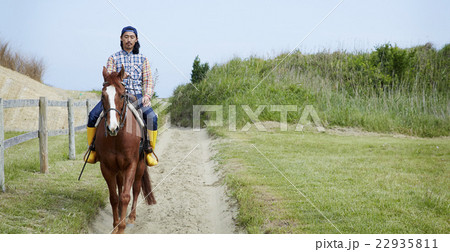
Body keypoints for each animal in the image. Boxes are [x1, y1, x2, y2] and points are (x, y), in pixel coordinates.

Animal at [94, 66, 156, 233]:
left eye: (122, 95)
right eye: (103, 95)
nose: (112, 128)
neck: (118, 138)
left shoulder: (131, 165)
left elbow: (126, 196)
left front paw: (122, 227)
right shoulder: (106, 167)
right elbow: (114, 197)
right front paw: (116, 225)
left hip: (139, 166)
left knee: (136, 188)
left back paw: (131, 217)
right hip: (118, 169)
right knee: (120, 187)